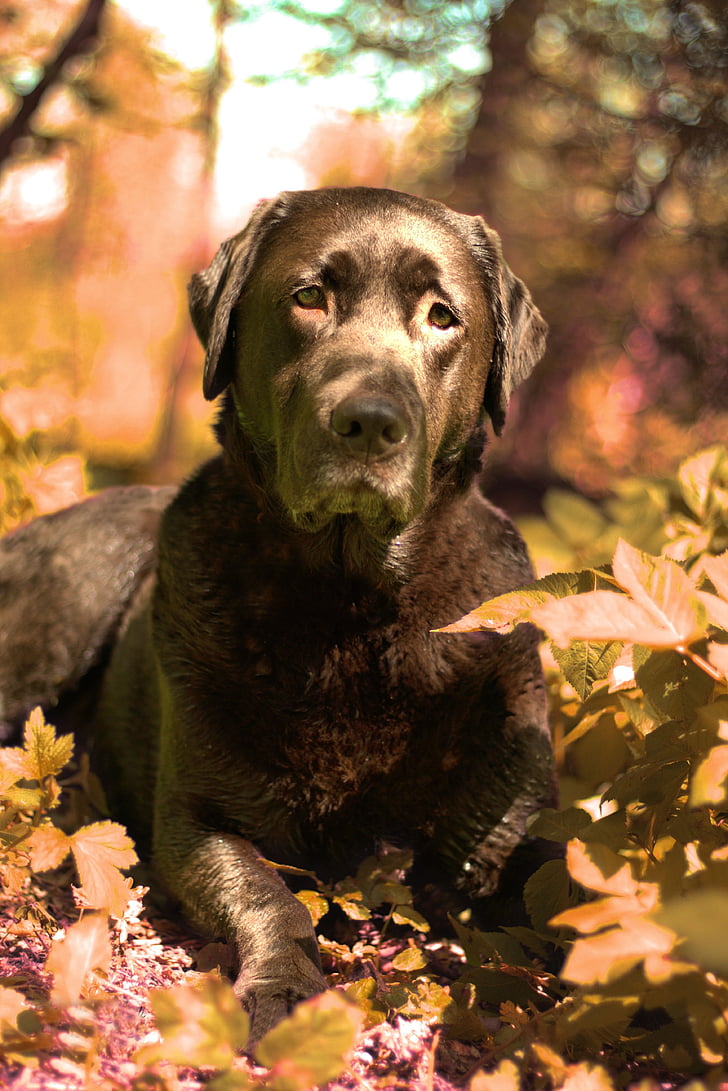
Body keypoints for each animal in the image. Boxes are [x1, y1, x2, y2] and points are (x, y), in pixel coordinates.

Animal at [0, 187, 558, 1038]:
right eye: (308, 297)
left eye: (442, 316)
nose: (369, 421)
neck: (351, 609)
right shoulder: (196, 816)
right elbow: (269, 893)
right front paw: (287, 985)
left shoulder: (491, 818)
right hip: (74, 591)